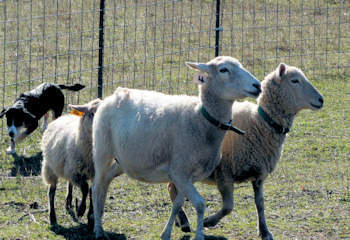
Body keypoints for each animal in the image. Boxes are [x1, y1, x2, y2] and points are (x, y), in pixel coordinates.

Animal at [41, 98, 102, 226]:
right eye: (91, 113)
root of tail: (63, 116)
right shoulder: (76, 173)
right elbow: (85, 188)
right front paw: (81, 210)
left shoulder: (95, 174)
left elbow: (91, 191)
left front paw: (90, 216)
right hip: (50, 167)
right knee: (51, 191)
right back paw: (52, 217)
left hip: (68, 168)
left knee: (69, 184)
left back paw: (68, 201)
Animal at [91, 56, 262, 240]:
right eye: (223, 70)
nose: (257, 86)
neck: (202, 120)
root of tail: (113, 95)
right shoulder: (179, 172)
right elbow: (200, 204)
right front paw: (199, 235)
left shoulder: (188, 177)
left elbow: (178, 203)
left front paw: (166, 233)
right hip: (102, 149)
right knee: (96, 186)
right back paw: (98, 230)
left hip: (122, 160)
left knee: (106, 180)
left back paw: (99, 216)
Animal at [168, 62, 324, 239]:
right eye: (295, 81)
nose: (321, 100)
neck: (261, 124)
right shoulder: (225, 174)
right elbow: (228, 207)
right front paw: (209, 221)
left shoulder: (259, 175)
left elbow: (260, 204)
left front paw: (265, 231)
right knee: (173, 189)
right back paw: (184, 221)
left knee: (173, 188)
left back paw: (180, 220)